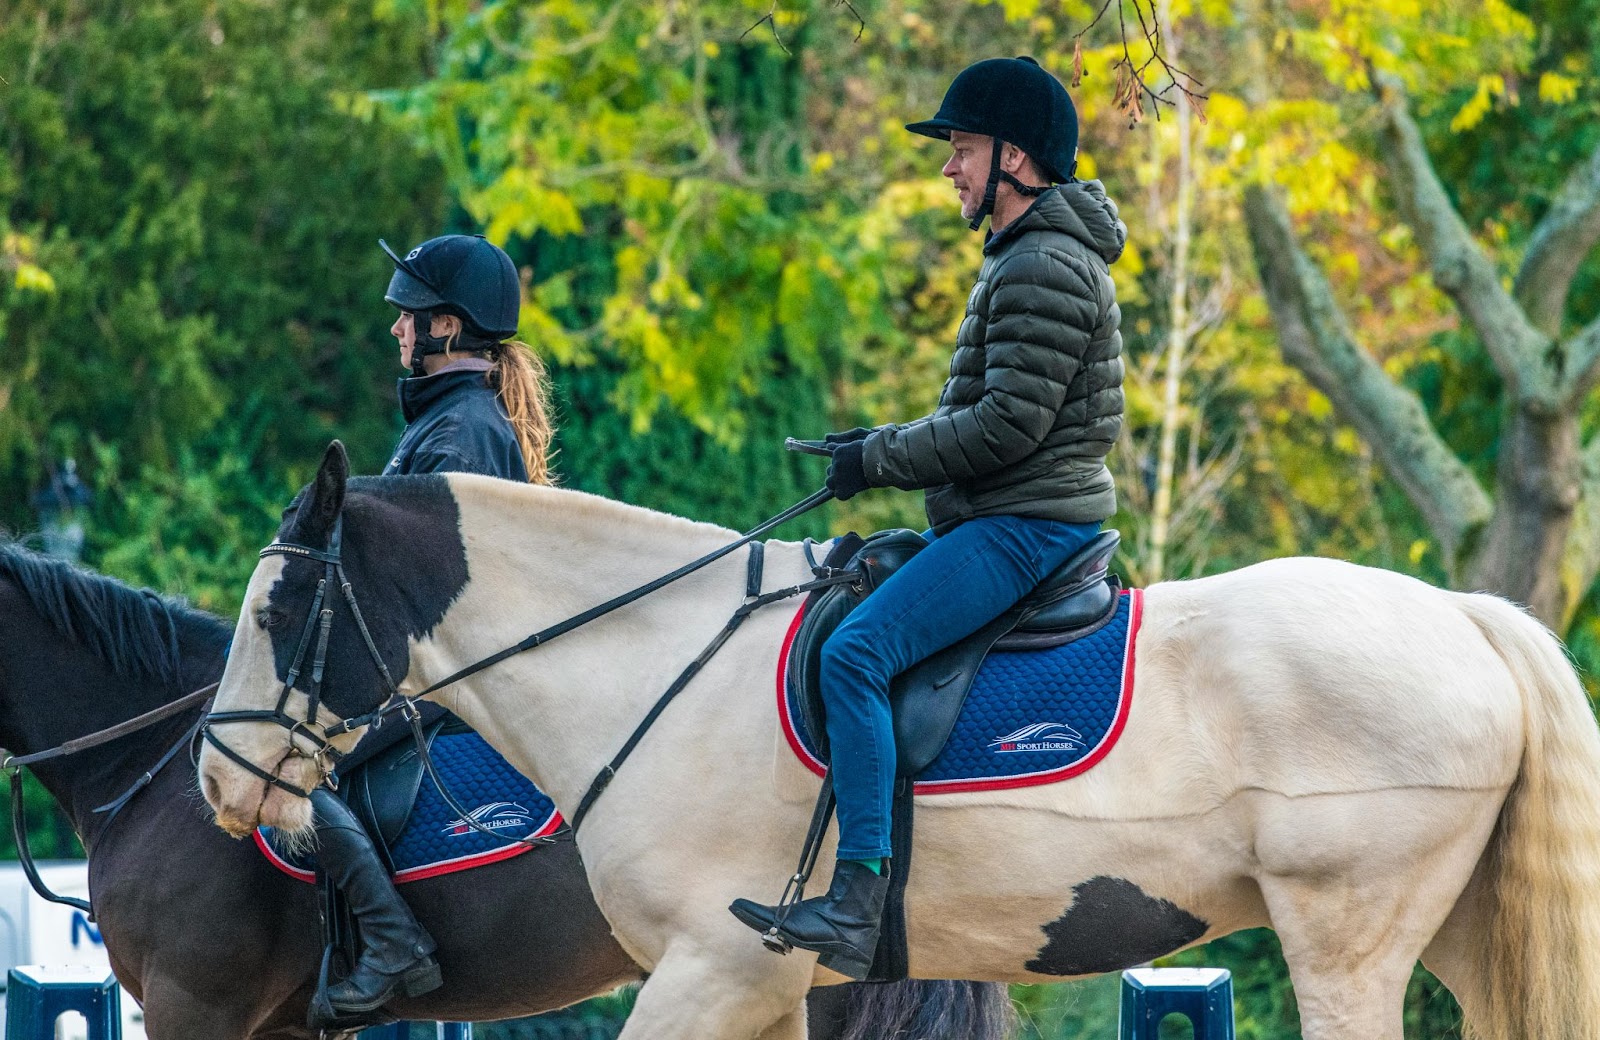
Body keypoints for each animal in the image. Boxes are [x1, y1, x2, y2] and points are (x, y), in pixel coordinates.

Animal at [196, 460, 1600, 1036]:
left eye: (277, 606)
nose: (216, 779)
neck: (650, 658)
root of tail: (1465, 619)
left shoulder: (709, 970)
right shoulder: (757, 989)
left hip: (1344, 941)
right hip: (1464, 934)